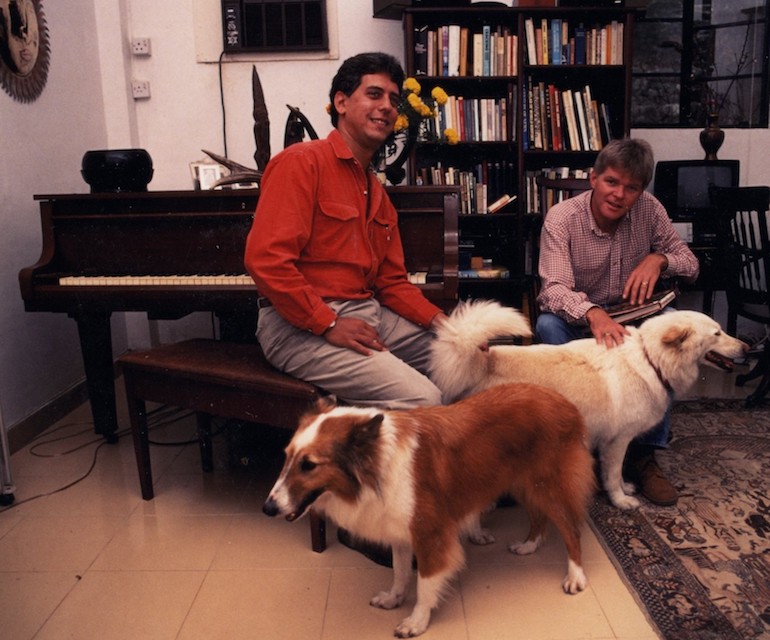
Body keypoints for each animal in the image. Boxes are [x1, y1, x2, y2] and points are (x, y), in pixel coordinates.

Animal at [426, 300, 744, 510]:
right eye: (717, 333)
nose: (747, 346)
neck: (651, 358)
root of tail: (483, 362)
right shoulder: (618, 440)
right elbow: (613, 474)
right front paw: (622, 500)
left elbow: (613, 473)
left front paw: (625, 489)